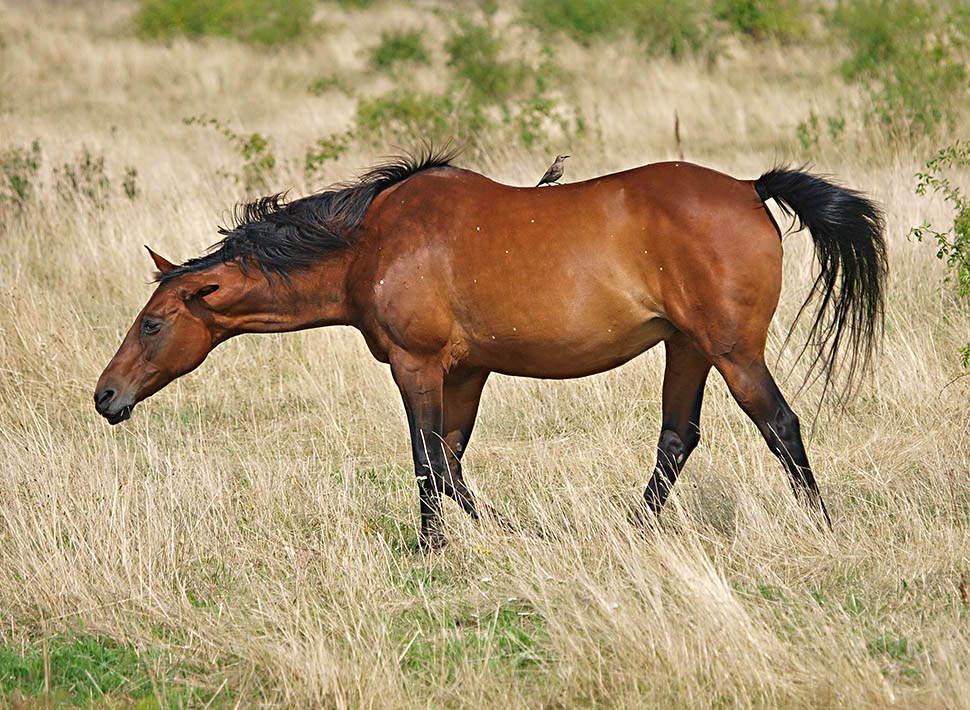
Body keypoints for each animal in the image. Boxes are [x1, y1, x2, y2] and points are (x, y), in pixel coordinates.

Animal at [92, 149, 884, 552]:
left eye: (153, 323)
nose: (106, 395)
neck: (372, 242)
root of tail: (751, 189)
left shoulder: (416, 365)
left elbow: (427, 461)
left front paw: (439, 548)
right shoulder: (466, 372)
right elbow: (450, 461)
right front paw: (490, 534)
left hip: (730, 350)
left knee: (779, 425)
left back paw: (822, 528)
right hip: (687, 349)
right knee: (677, 437)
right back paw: (631, 534)